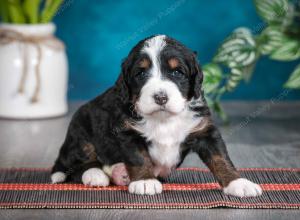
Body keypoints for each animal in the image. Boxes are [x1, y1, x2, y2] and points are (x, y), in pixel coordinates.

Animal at [51, 34, 262, 198]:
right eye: (141, 73)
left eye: (177, 72)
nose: (160, 97)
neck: (164, 118)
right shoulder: (127, 131)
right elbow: (138, 157)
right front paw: (145, 181)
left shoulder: (205, 131)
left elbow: (221, 158)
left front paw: (238, 183)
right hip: (80, 130)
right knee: (79, 165)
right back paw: (96, 175)